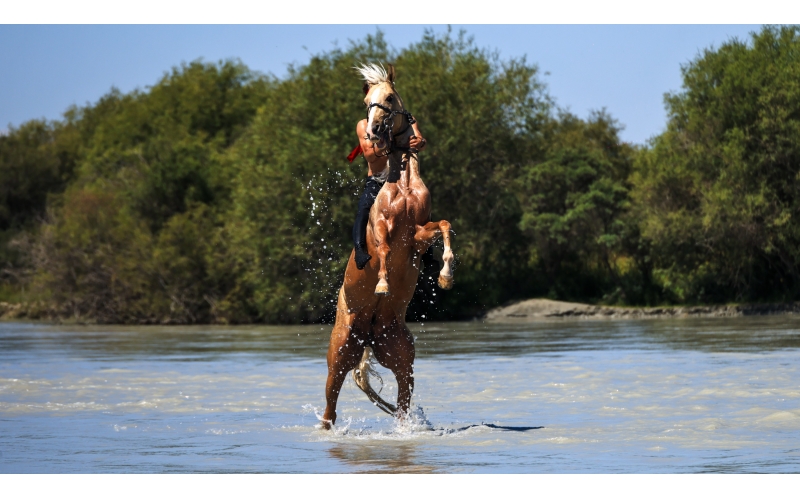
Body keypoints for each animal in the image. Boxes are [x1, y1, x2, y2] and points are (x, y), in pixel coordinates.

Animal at [321, 63, 455, 429]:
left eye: (390, 98)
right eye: (367, 102)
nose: (374, 130)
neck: (403, 181)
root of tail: (368, 335)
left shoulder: (416, 236)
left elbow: (444, 226)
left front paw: (446, 275)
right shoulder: (384, 227)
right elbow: (381, 249)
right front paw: (382, 284)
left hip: (401, 355)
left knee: (403, 397)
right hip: (340, 353)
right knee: (330, 406)